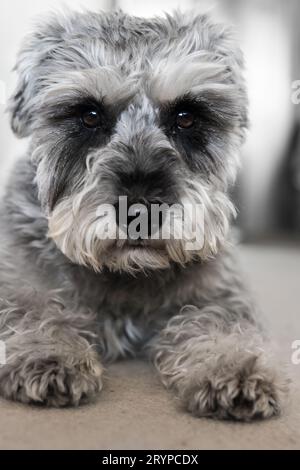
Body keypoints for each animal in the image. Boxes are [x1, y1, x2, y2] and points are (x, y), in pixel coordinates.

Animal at [0, 8, 288, 418]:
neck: (127, 273)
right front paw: (48, 353)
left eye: (187, 117)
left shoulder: (219, 293)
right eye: (89, 116)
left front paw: (233, 365)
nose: (140, 212)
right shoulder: (21, 283)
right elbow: (33, 309)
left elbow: (220, 322)